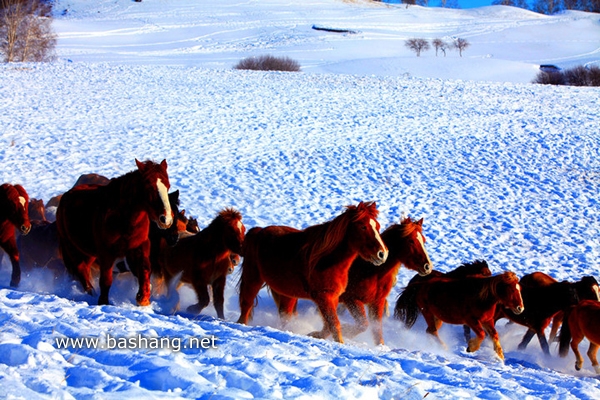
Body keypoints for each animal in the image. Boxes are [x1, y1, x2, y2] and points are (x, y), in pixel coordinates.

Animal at [56, 159, 175, 306]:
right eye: (150, 187)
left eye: (168, 186)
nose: (166, 219)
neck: (124, 220)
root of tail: (65, 197)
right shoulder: (106, 253)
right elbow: (106, 280)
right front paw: (103, 302)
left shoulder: (139, 247)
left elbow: (144, 270)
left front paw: (143, 298)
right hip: (74, 250)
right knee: (82, 273)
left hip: (88, 255)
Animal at [237, 203, 392, 344]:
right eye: (363, 226)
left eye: (378, 227)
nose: (382, 254)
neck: (327, 260)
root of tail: (258, 231)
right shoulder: (325, 296)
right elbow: (335, 324)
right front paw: (340, 342)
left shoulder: (333, 298)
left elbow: (331, 325)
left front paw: (315, 335)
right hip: (253, 279)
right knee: (246, 305)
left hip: (288, 294)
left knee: (284, 314)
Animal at [332, 217, 436, 346]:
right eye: (411, 241)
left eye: (424, 240)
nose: (428, 266)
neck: (372, 272)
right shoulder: (351, 299)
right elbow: (363, 325)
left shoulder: (377, 303)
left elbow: (377, 332)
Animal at [396, 272, 524, 360]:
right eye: (511, 290)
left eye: (519, 289)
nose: (520, 308)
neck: (483, 298)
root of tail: (420, 285)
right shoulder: (471, 320)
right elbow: (482, 334)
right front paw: (471, 347)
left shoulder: (487, 321)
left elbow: (495, 335)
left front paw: (500, 356)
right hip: (427, 312)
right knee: (432, 331)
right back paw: (444, 348)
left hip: (437, 317)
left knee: (429, 331)